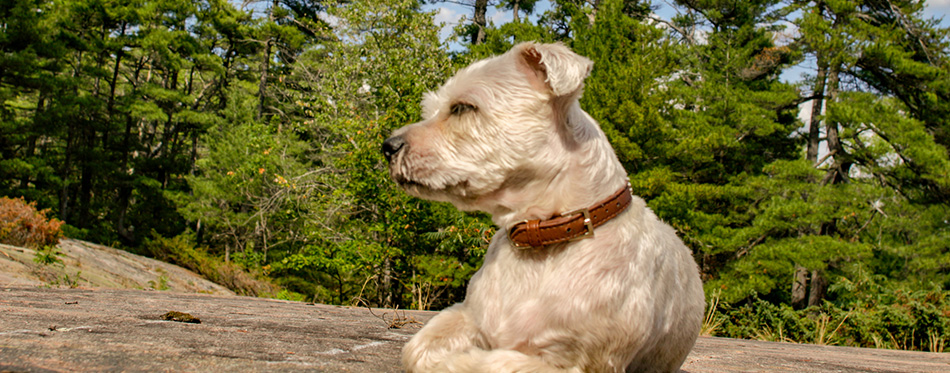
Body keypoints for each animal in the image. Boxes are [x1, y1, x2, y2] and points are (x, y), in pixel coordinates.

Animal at [384, 42, 704, 372]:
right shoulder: (468, 314)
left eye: (462, 107)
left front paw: (461, 360)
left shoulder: (585, 362)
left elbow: (494, 362)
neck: (545, 232)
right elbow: (417, 348)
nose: (388, 146)